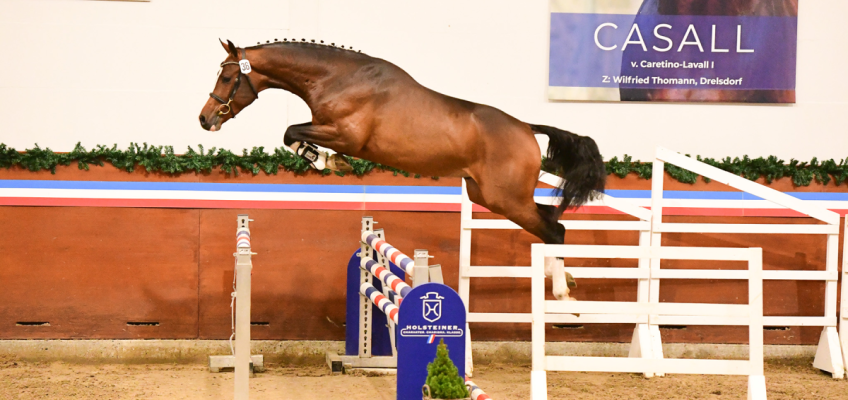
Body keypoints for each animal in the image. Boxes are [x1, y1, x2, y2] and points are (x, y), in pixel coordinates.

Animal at [199, 39, 608, 300]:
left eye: (226, 78)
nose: (205, 118)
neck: (337, 78)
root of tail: (526, 128)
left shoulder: (345, 134)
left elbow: (291, 132)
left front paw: (326, 160)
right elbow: (292, 133)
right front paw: (328, 160)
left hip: (506, 199)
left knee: (555, 228)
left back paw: (560, 290)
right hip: (492, 196)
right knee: (550, 219)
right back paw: (560, 277)